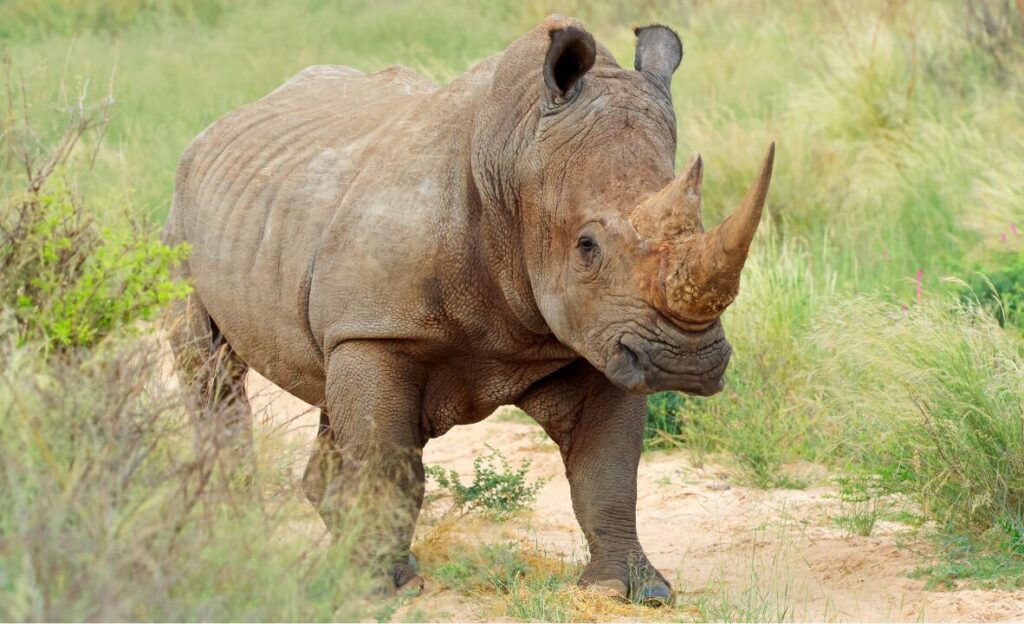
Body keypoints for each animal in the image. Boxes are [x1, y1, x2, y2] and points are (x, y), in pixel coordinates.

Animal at [163, 15, 774, 603]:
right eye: (587, 246)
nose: (684, 363)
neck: (515, 157)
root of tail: (223, 122)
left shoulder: (604, 336)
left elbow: (609, 473)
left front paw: (634, 589)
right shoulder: (378, 330)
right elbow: (387, 461)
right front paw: (378, 592)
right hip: (183, 208)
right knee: (210, 368)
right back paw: (232, 539)